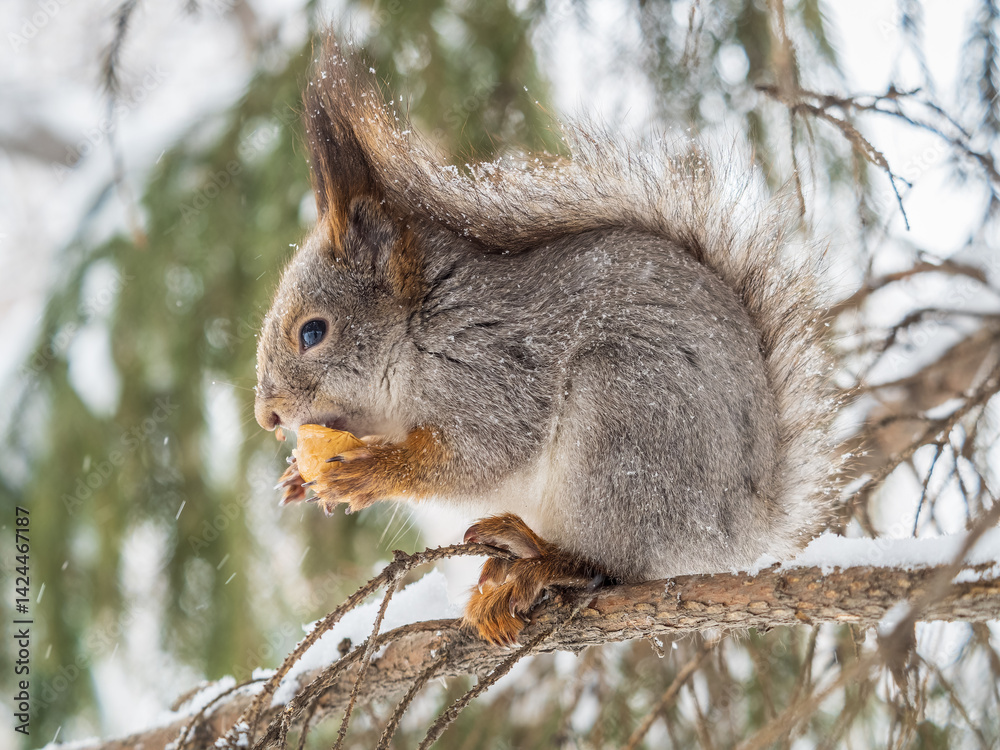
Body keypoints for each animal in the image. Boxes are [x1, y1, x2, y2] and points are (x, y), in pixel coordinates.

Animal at [254, 37, 836, 645]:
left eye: (313, 332)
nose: (266, 417)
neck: (419, 328)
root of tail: (741, 530)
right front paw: (297, 478)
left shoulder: (492, 369)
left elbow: (479, 454)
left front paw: (373, 472)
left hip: (624, 427)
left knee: (611, 562)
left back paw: (543, 563)